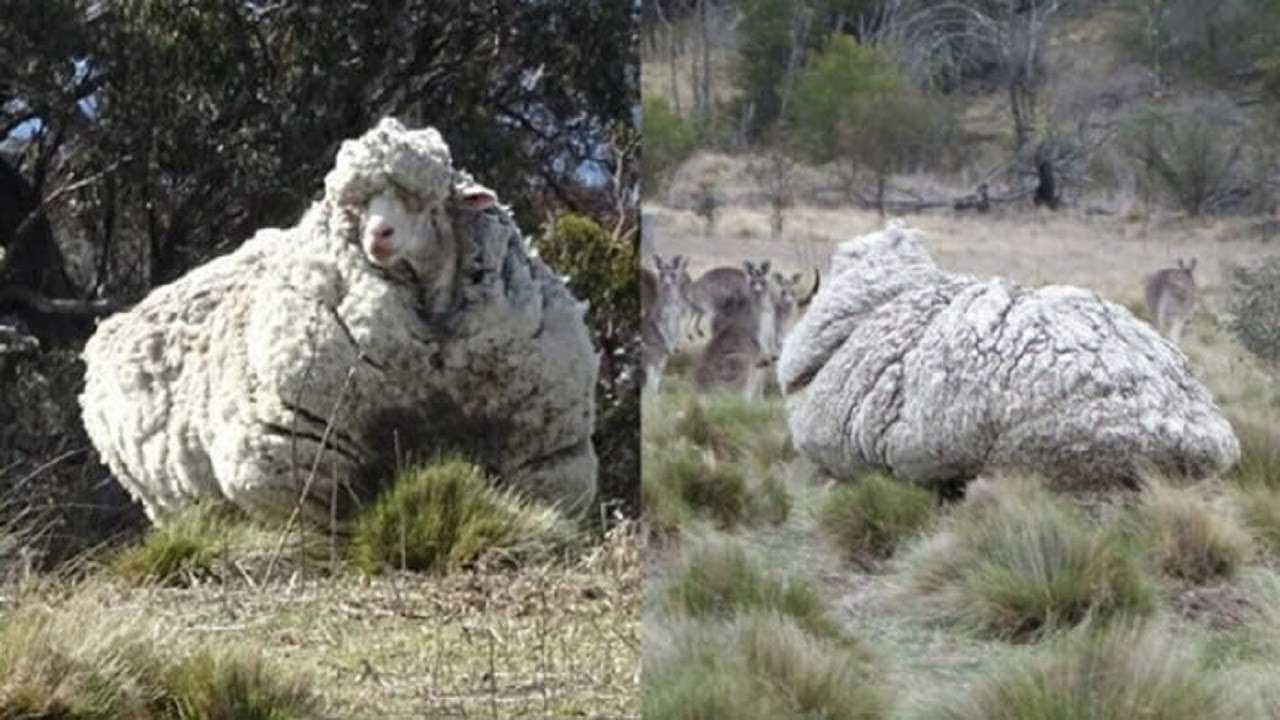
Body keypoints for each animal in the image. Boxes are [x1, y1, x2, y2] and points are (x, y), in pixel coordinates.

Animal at [80, 118, 598, 526]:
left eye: (425, 201)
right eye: (356, 207)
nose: (378, 235)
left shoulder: (545, 455)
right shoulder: (297, 457)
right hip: (168, 499)